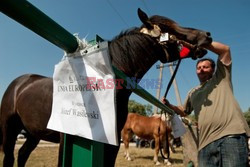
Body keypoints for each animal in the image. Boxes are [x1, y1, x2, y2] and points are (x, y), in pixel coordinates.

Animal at [0, 9, 212, 167]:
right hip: (10, 128)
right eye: (169, 29)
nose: (207, 35)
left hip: (33, 133)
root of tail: (20, 82)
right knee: (10, 156)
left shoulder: (112, 143)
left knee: (23, 154)